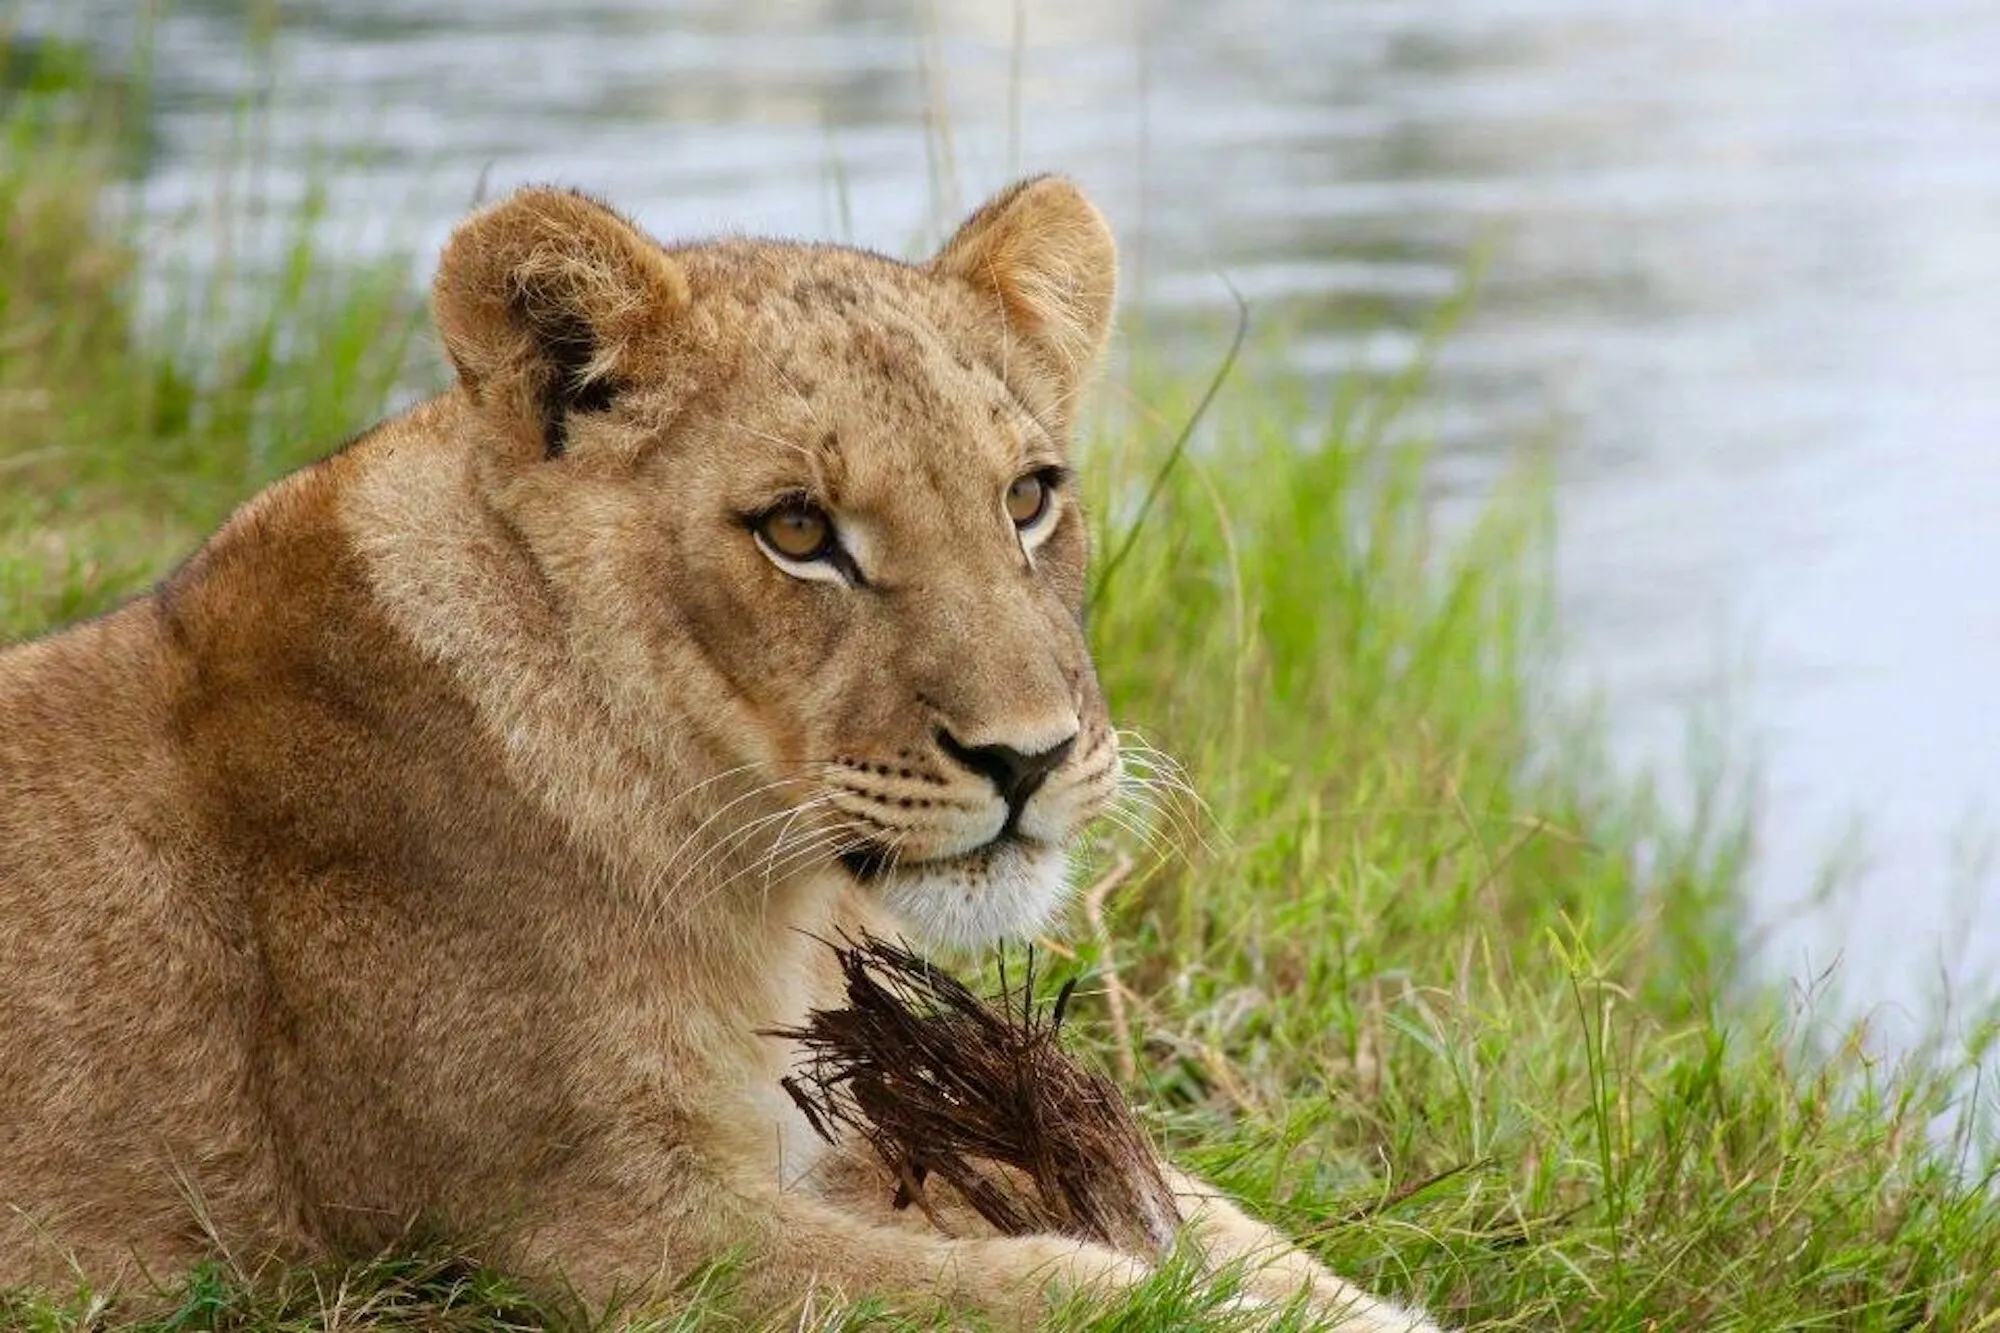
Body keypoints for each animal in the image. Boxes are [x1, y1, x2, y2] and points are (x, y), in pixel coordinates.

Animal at [0, 178, 1438, 1331]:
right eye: (798, 530)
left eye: (1029, 498)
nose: (1027, 758)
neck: (780, 898)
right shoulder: (606, 1227)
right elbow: (1057, 1292)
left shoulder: (838, 1124)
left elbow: (1226, 1224)